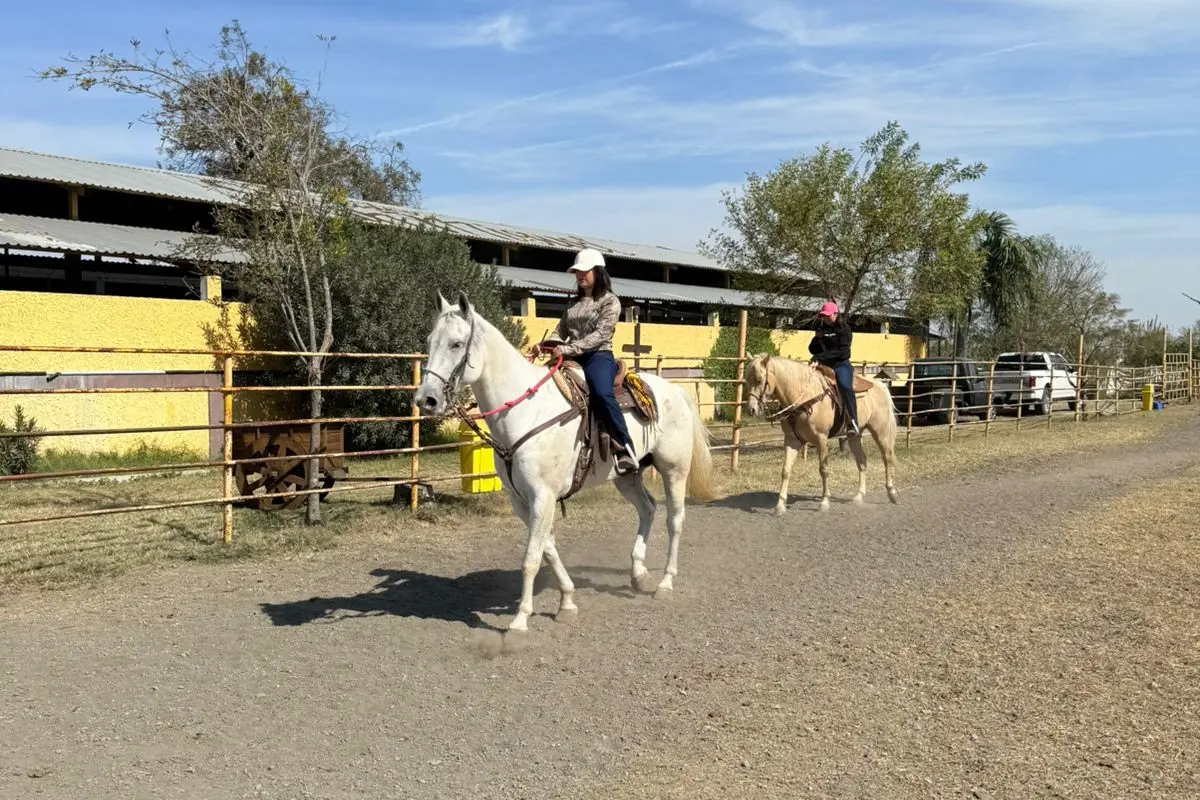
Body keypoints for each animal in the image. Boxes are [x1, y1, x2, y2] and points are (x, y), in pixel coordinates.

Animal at [412, 291, 715, 633]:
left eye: (456, 343)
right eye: (430, 340)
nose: (426, 400)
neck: (526, 411)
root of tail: (675, 391)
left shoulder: (543, 497)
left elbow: (531, 558)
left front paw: (520, 620)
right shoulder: (522, 500)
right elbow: (547, 548)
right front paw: (567, 601)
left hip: (674, 469)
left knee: (675, 520)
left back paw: (665, 583)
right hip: (626, 475)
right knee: (648, 508)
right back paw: (638, 574)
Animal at [739, 355, 902, 513]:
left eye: (759, 380)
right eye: (747, 380)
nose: (751, 409)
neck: (804, 397)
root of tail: (880, 385)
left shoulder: (821, 439)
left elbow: (823, 470)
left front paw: (824, 502)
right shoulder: (792, 440)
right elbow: (786, 471)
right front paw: (780, 505)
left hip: (880, 431)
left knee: (887, 457)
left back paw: (892, 493)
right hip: (855, 435)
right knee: (862, 461)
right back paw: (859, 496)